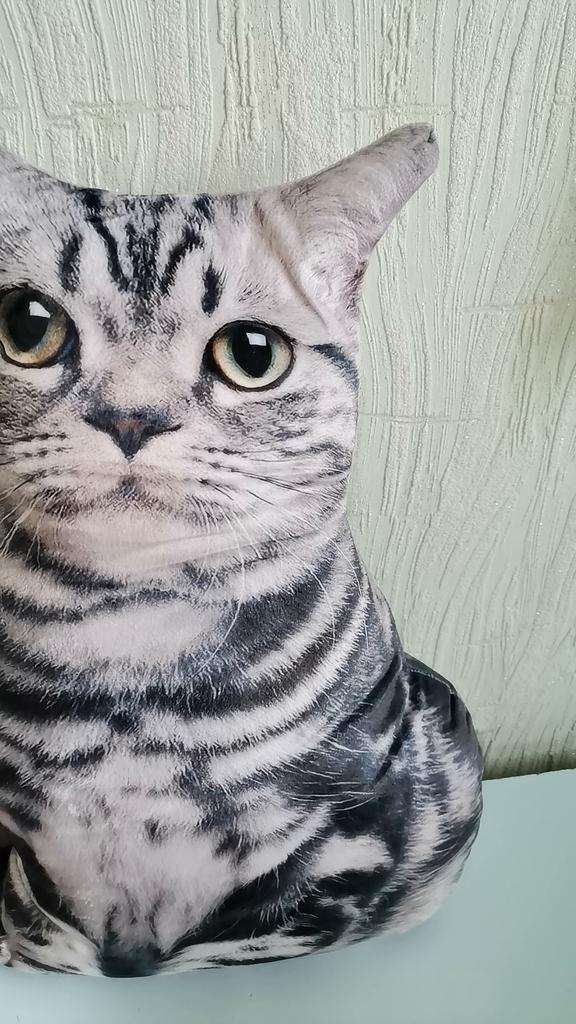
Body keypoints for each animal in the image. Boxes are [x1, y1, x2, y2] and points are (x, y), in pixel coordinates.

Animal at [0, 124, 482, 976]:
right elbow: (47, 926)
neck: (129, 640)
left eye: (252, 354)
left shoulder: (328, 863)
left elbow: (238, 937)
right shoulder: (35, 858)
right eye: (27, 327)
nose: (132, 418)